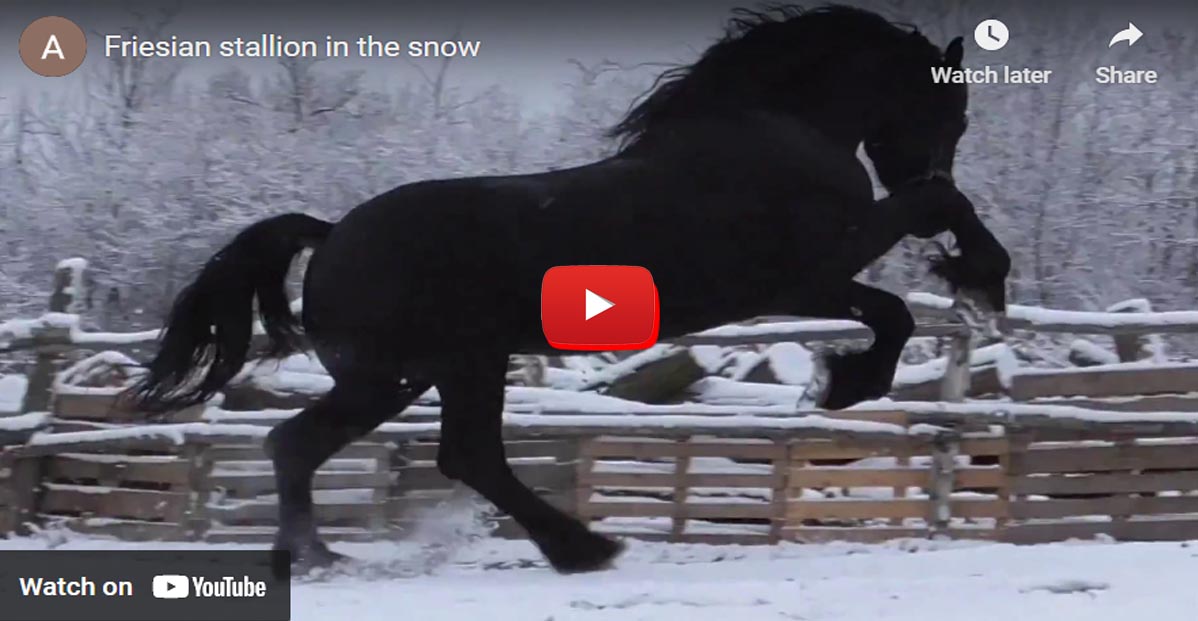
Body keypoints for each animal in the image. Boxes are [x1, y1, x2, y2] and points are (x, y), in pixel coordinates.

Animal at [131, 4, 1011, 577]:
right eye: (955, 112)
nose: (923, 163)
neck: (767, 132)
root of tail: (331, 234)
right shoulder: (812, 271)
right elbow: (911, 271)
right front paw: (863, 367)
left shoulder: (814, 275)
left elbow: (918, 256)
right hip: (428, 368)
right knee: (409, 451)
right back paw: (573, 548)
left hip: (434, 371)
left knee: (368, 448)